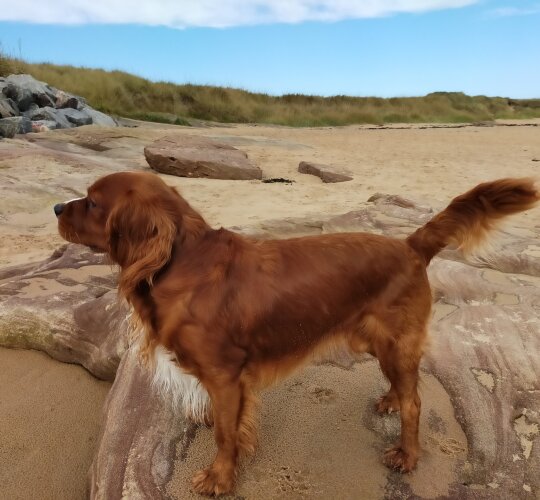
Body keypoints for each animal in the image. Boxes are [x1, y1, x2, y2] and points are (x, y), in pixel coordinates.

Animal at [53, 172, 536, 496]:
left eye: (92, 203)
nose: (57, 208)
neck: (180, 262)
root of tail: (409, 245)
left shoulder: (226, 375)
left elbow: (226, 433)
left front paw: (219, 478)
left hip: (395, 342)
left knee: (416, 402)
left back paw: (407, 454)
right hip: (379, 343)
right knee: (405, 387)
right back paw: (389, 399)